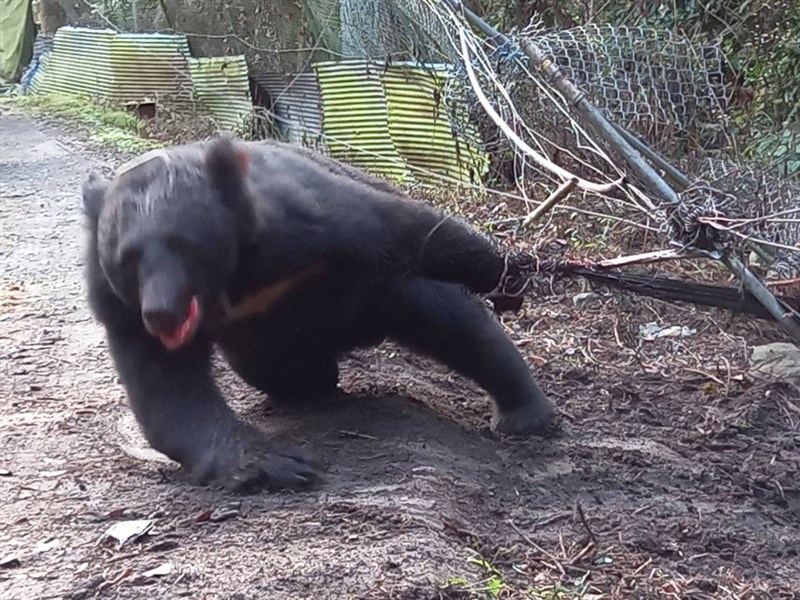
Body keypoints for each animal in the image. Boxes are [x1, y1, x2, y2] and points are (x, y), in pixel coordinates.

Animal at [83, 137, 556, 492]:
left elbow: (407, 228)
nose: (161, 314)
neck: (236, 284)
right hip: (265, 350)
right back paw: (315, 383)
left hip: (383, 292)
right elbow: (167, 389)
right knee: (290, 372)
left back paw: (525, 415)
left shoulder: (304, 219)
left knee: (455, 324)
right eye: (127, 260)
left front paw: (507, 274)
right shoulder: (116, 305)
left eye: (184, 245)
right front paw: (279, 464)